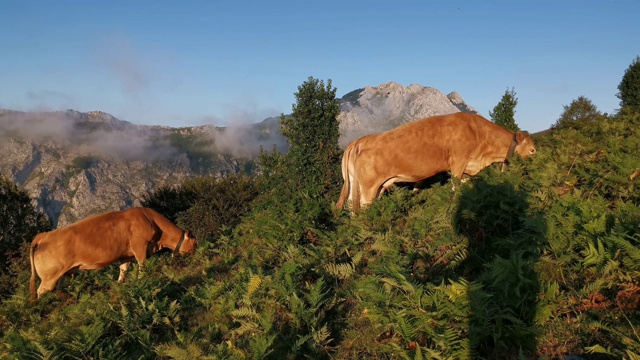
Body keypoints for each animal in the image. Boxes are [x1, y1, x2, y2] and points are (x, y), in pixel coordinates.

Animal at [28, 205, 198, 300]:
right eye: (194, 242)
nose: (196, 253)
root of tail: (43, 235)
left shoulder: (126, 255)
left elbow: (123, 269)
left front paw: (120, 284)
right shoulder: (139, 246)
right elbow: (142, 265)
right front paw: (141, 280)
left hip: (62, 274)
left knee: (58, 288)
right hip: (50, 276)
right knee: (41, 291)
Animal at [338, 112, 536, 214]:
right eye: (532, 150)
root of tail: (359, 141)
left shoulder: (466, 169)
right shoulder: (458, 162)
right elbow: (455, 189)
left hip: (362, 184)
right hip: (369, 187)